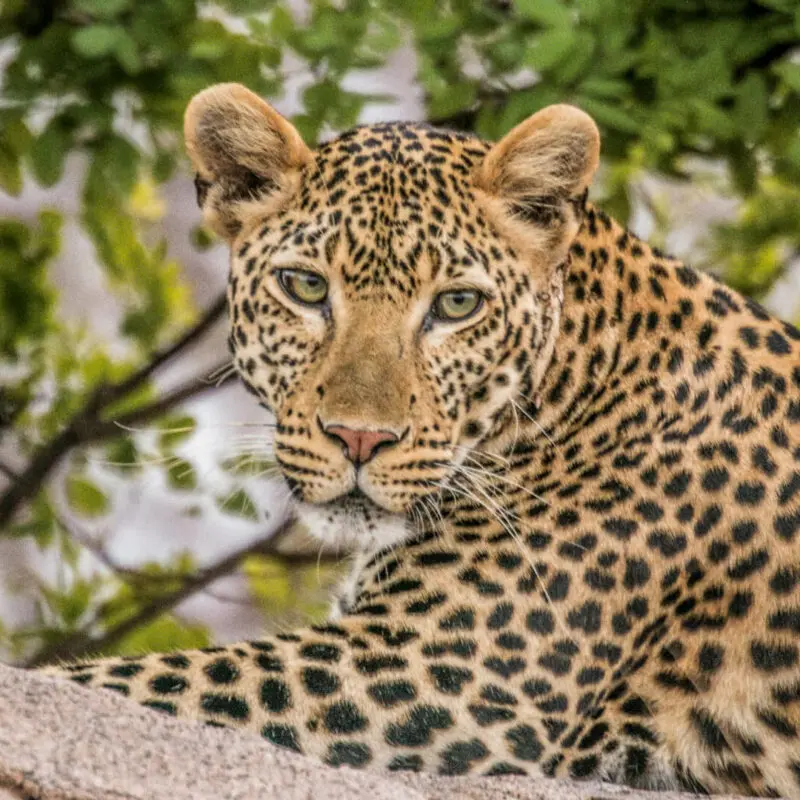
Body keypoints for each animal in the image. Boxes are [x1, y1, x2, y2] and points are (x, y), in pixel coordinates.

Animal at [39, 82, 800, 798]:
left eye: (457, 304)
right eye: (305, 286)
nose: (358, 438)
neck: (581, 374)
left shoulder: (433, 673)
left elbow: (130, 683)